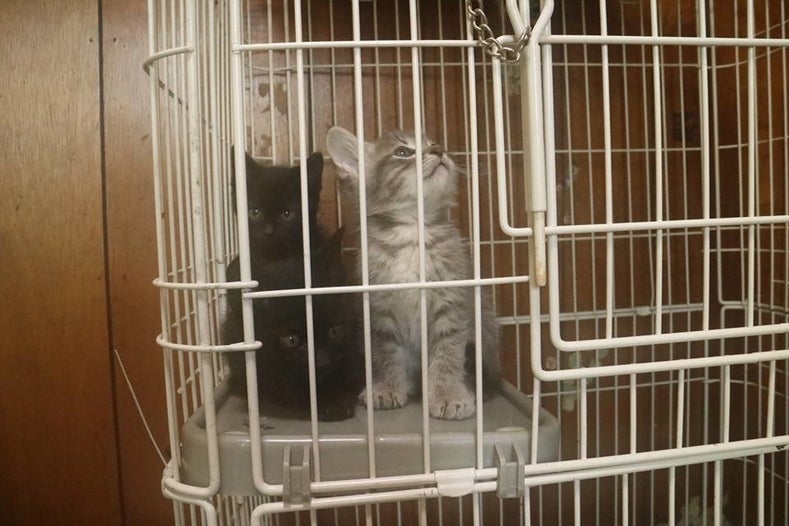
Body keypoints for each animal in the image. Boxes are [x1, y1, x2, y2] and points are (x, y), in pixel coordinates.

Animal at [326, 127, 500, 420]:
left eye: (434, 143)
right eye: (403, 152)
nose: (439, 150)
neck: (411, 234)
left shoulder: (452, 302)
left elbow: (448, 351)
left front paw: (448, 394)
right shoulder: (378, 310)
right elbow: (385, 353)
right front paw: (386, 387)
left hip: (485, 316)